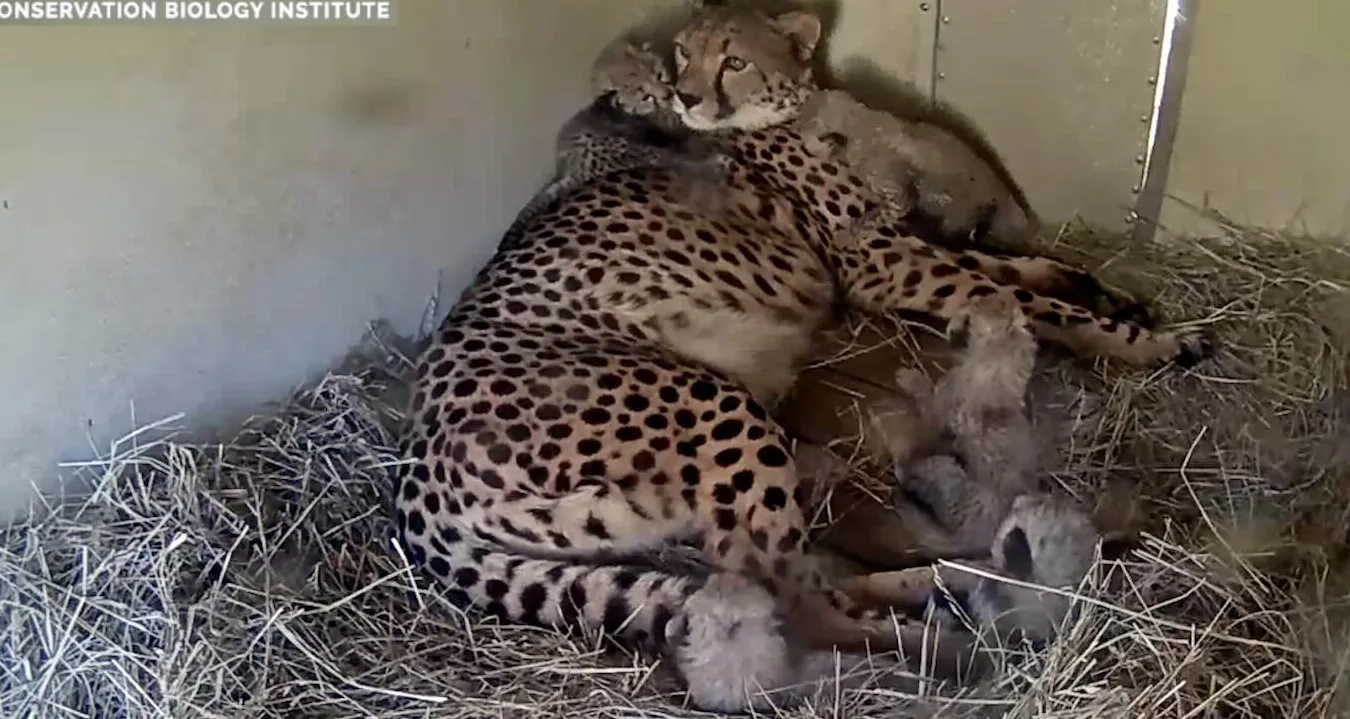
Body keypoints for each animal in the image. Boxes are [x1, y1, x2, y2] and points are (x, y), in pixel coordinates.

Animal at [392, 5, 1212, 711]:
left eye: (732, 59)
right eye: (683, 54)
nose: (686, 97)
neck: (798, 115)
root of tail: (413, 468)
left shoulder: (900, 247)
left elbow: (1018, 271)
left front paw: (1112, 295)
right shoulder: (880, 266)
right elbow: (1014, 297)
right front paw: (1148, 341)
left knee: (813, 570)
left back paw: (940, 581)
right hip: (709, 405)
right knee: (797, 601)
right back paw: (943, 646)